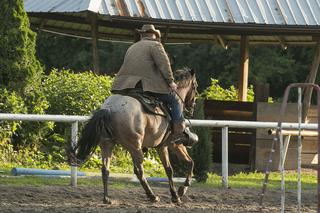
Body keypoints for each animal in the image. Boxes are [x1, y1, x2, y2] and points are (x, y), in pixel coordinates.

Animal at [71, 67, 199, 204]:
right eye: (195, 86)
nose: (192, 108)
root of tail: (110, 109)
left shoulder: (164, 146)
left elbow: (182, 165)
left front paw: (178, 192)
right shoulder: (170, 144)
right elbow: (178, 167)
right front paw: (179, 192)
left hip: (108, 144)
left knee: (105, 169)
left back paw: (106, 198)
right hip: (135, 147)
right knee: (139, 171)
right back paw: (152, 195)